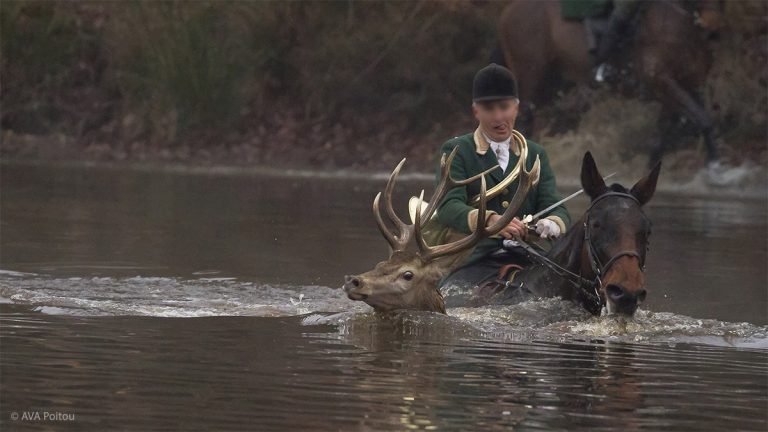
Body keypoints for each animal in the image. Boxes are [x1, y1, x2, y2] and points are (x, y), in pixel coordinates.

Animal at [496, 0, 724, 167]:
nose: (712, 23)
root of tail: (509, 10)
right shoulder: (662, 81)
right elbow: (704, 119)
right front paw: (717, 170)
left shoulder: (684, 87)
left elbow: (663, 136)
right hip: (532, 75)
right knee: (526, 116)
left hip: (551, 82)